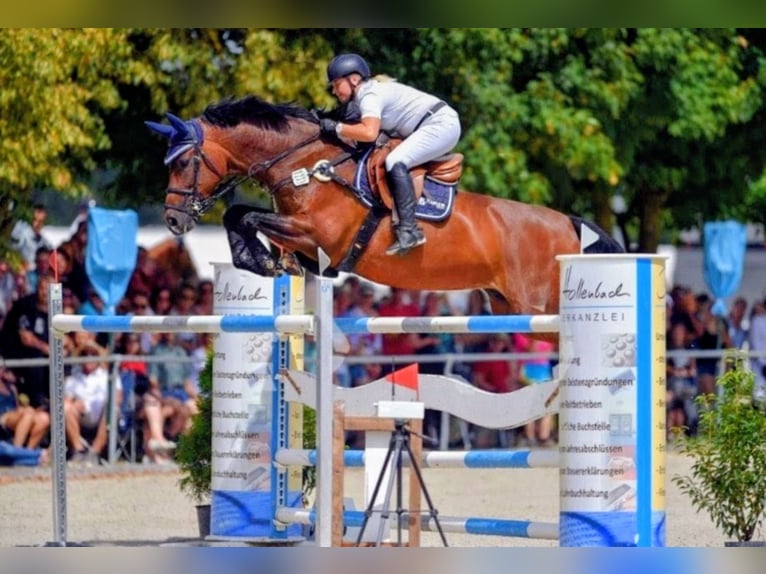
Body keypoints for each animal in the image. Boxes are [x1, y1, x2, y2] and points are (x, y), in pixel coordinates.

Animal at [146, 95, 622, 319]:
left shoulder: (316, 235)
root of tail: (569, 224)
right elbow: (239, 216)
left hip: (538, 308)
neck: (305, 165)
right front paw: (263, 261)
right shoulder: (304, 242)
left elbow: (246, 215)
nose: (172, 219)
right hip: (505, 306)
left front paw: (260, 260)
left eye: (183, 162)